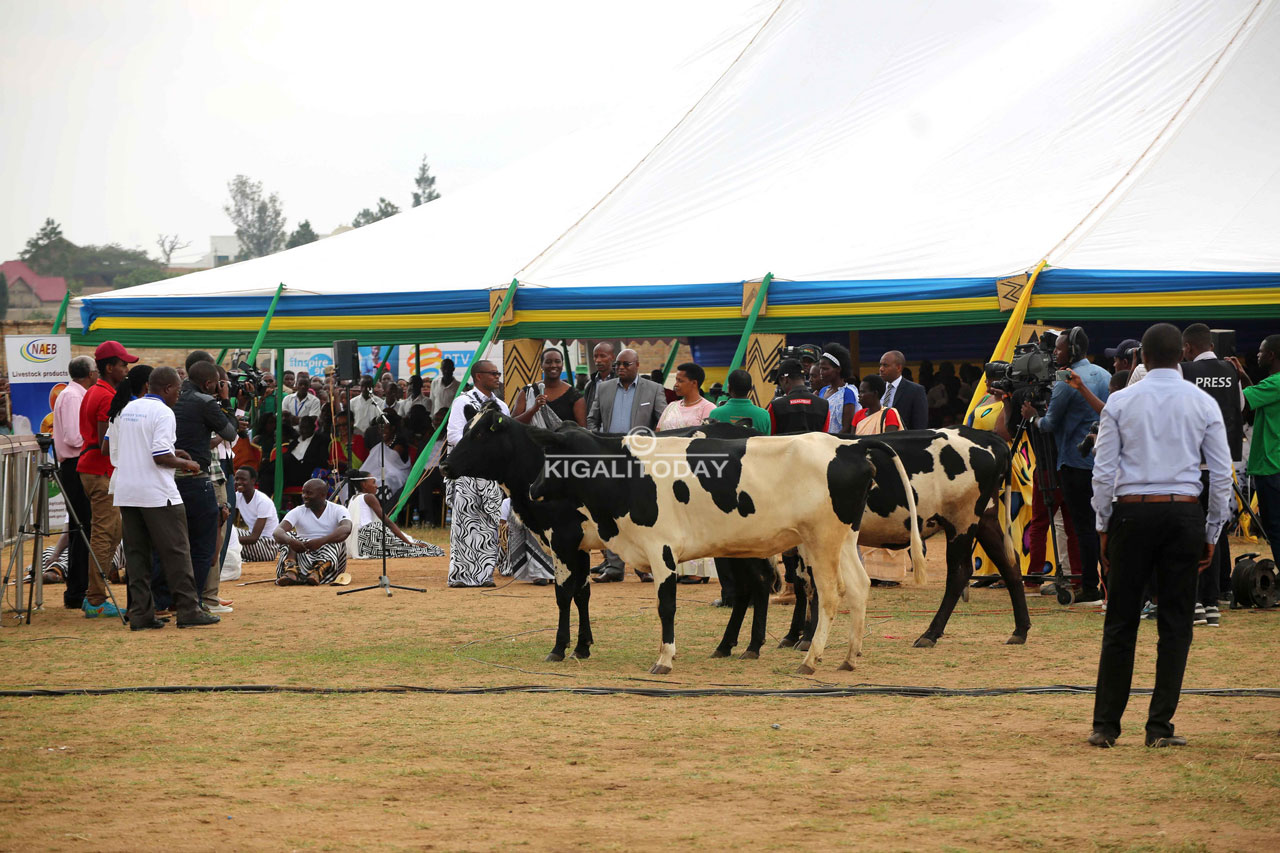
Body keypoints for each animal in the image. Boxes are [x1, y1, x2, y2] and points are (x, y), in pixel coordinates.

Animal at [529, 425, 921, 671]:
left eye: (556, 458)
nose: (532, 489)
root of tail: (849, 445)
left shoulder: (661, 549)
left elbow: (666, 606)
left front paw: (664, 659)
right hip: (844, 539)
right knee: (859, 587)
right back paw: (850, 657)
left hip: (821, 540)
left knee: (830, 593)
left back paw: (810, 660)